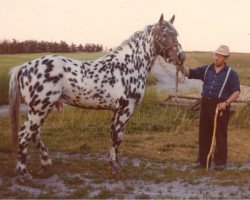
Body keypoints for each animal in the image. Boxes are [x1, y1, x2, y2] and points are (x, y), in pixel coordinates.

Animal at [9, 14, 186, 183]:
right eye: (164, 35)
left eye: (176, 34)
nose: (181, 56)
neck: (129, 66)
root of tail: (24, 67)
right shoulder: (126, 109)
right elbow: (117, 137)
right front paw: (114, 167)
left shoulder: (116, 110)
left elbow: (114, 135)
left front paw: (113, 163)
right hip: (39, 108)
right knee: (24, 135)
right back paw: (24, 174)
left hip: (40, 109)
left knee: (34, 133)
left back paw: (46, 162)